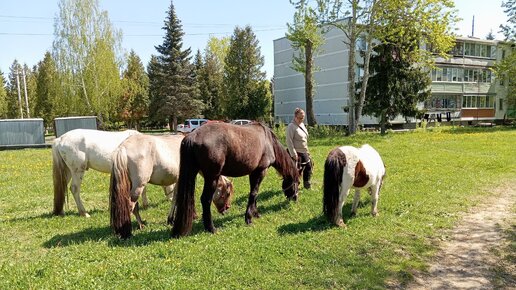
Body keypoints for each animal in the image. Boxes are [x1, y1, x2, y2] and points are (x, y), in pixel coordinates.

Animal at [171, 121, 300, 237]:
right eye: (297, 183)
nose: (295, 199)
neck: (269, 141)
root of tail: (193, 135)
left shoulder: (253, 173)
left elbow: (254, 194)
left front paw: (255, 214)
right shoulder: (261, 171)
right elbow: (253, 193)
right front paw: (249, 218)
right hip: (212, 178)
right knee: (206, 199)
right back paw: (211, 228)